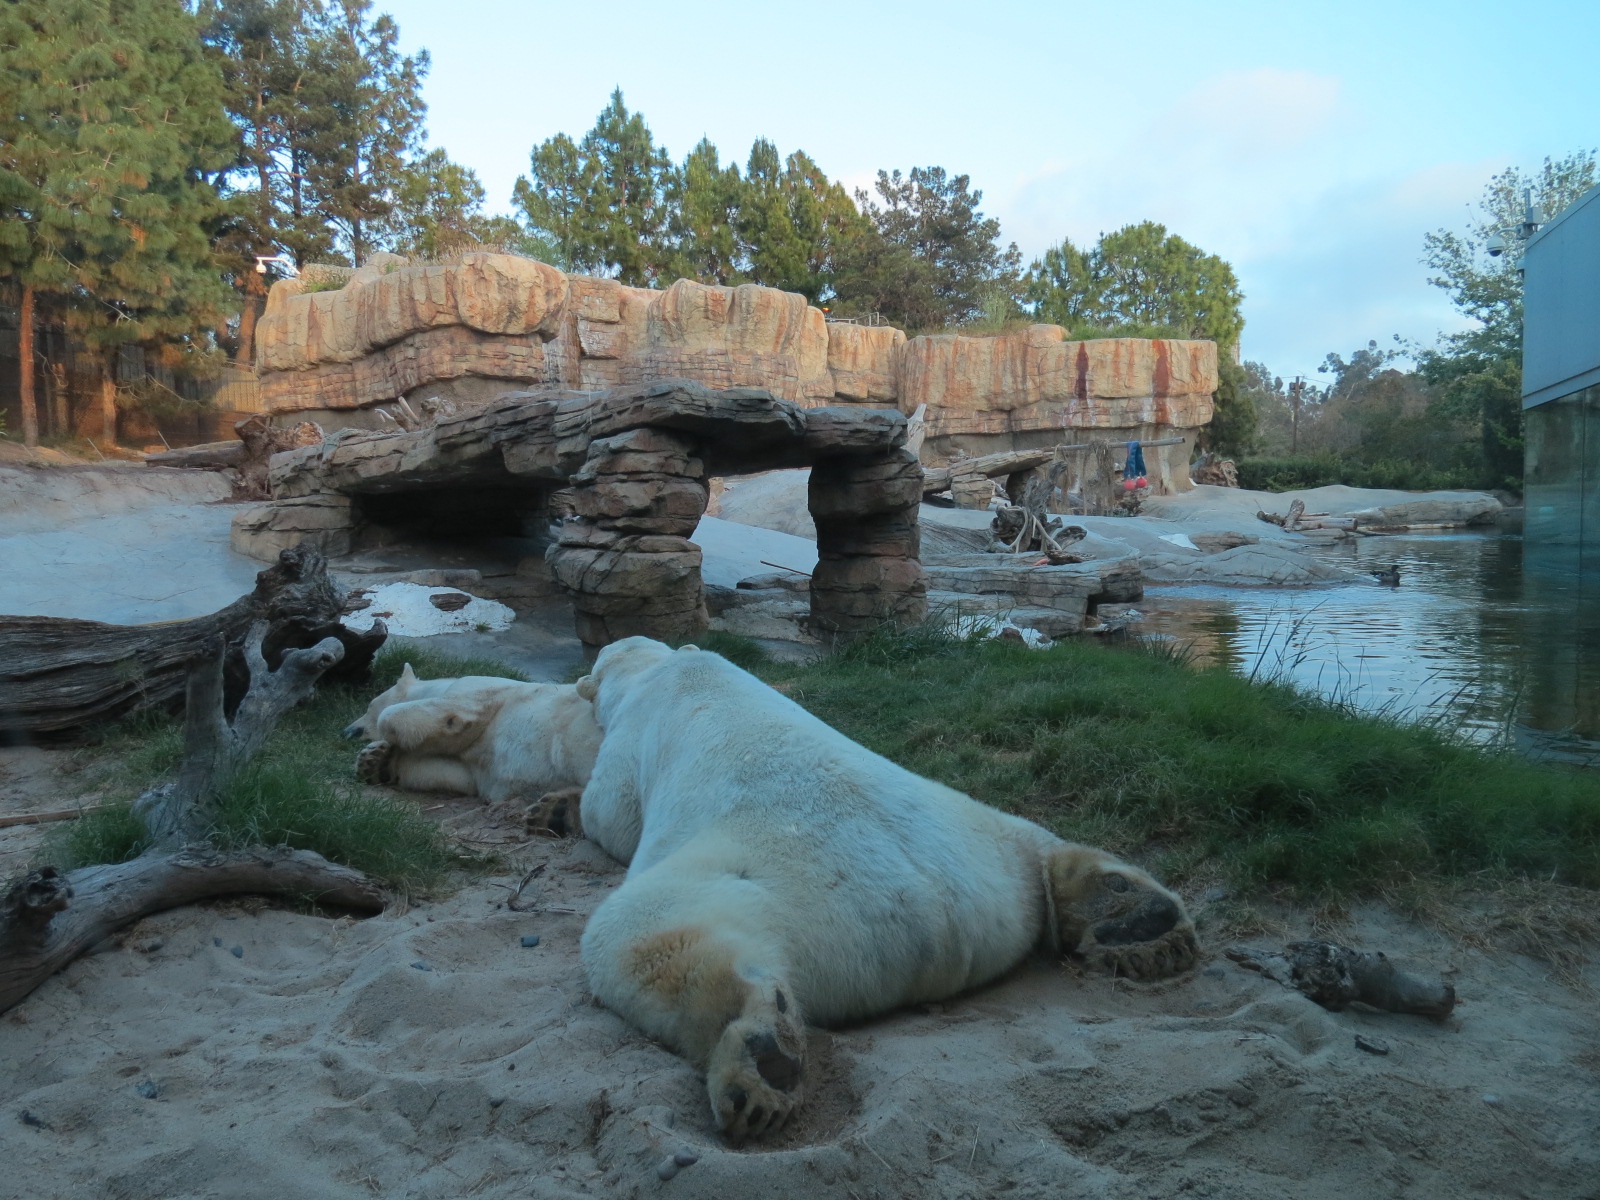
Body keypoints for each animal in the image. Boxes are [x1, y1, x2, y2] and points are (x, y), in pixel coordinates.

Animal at [343, 664, 602, 811]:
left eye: (369, 705)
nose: (346, 731)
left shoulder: (474, 688)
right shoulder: (471, 766)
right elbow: (449, 773)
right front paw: (376, 761)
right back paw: (560, 810)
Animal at [559, 637, 1199, 1141]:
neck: (663, 667)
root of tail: (939, 915)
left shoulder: (629, 744)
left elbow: (608, 813)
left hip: (762, 877)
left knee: (640, 935)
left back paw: (757, 1059)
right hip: (976, 827)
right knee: (1038, 846)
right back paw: (1135, 917)